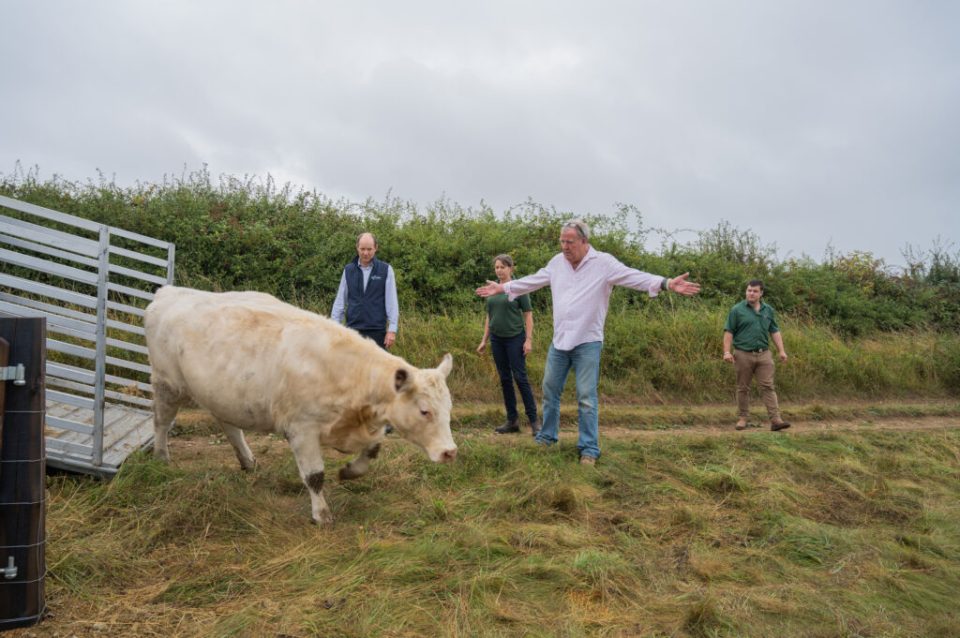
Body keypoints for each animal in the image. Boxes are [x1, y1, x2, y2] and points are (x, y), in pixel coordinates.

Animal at [143, 286, 457, 525]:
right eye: (425, 411)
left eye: (449, 410)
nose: (450, 452)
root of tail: (169, 292)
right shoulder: (301, 429)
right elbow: (314, 476)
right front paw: (322, 515)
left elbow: (372, 450)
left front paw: (349, 471)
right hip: (167, 384)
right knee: (161, 421)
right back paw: (161, 457)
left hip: (221, 394)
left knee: (229, 427)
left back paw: (248, 461)